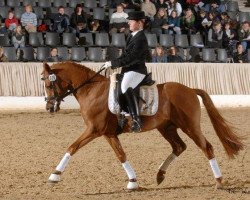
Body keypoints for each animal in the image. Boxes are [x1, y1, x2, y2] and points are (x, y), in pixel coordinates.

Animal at [41, 61, 244, 190]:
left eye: (49, 84)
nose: (49, 107)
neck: (92, 89)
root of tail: (190, 90)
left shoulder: (94, 130)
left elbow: (72, 147)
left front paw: (54, 175)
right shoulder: (108, 133)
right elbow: (121, 155)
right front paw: (133, 181)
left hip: (190, 127)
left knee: (206, 147)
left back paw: (219, 182)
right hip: (167, 127)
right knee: (179, 147)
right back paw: (160, 175)